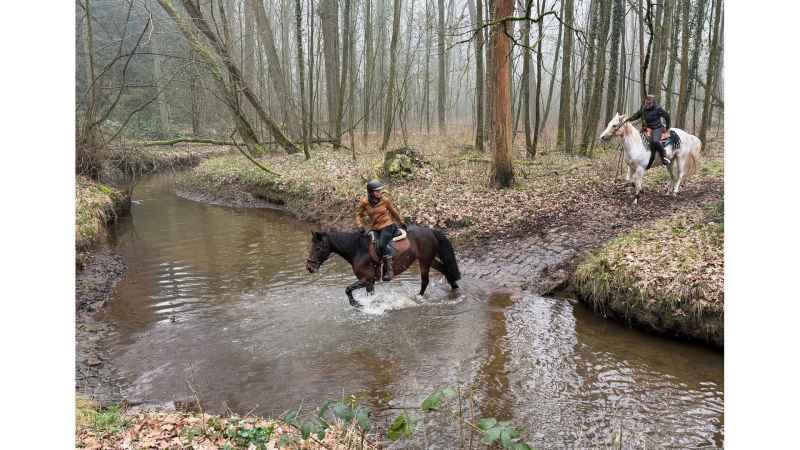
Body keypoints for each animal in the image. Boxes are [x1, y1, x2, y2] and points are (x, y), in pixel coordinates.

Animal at [305, 225, 461, 307]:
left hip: (424, 260)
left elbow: (348, 289)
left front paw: (357, 304)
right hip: (429, 259)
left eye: (318, 248)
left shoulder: (367, 279)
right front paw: (368, 304)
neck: (357, 249)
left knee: (425, 280)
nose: (309, 267)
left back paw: (418, 298)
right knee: (445, 270)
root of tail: (430, 231)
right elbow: (369, 294)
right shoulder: (370, 282)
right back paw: (455, 289)